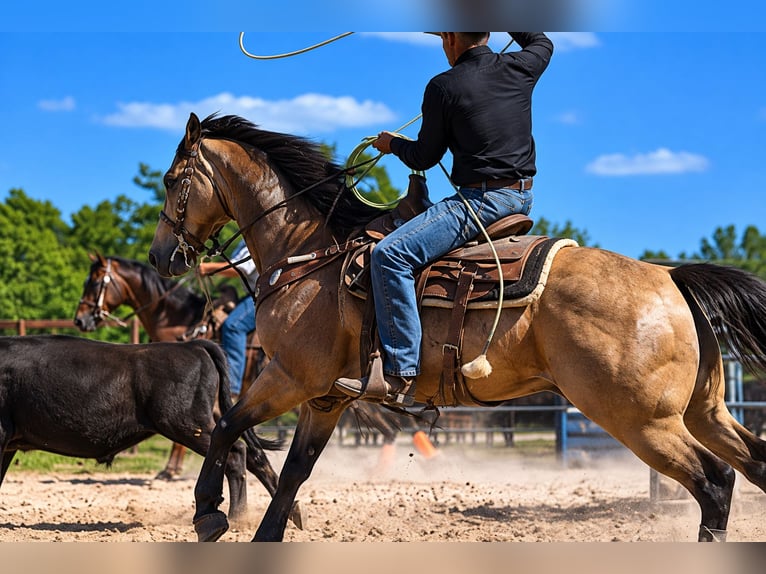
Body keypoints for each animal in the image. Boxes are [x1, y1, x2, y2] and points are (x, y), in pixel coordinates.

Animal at [148, 112, 766, 542]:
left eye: (173, 179)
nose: (160, 257)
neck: (312, 253)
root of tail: (670, 279)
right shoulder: (326, 397)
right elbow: (297, 467)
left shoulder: (291, 377)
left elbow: (227, 426)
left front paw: (207, 515)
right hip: (703, 412)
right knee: (752, 462)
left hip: (640, 420)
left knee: (715, 482)